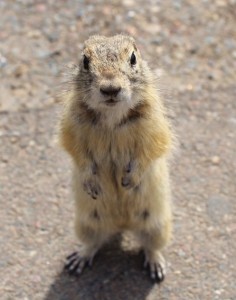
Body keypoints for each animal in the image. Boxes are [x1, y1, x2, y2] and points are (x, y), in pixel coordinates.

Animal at [59, 34, 173, 282]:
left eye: (133, 58)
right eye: (85, 61)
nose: (110, 88)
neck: (111, 115)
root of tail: (122, 224)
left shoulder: (154, 123)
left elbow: (153, 148)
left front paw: (130, 180)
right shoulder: (71, 124)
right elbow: (76, 151)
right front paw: (91, 183)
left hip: (157, 225)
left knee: (151, 246)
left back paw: (156, 266)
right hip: (87, 222)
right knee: (93, 242)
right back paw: (79, 259)